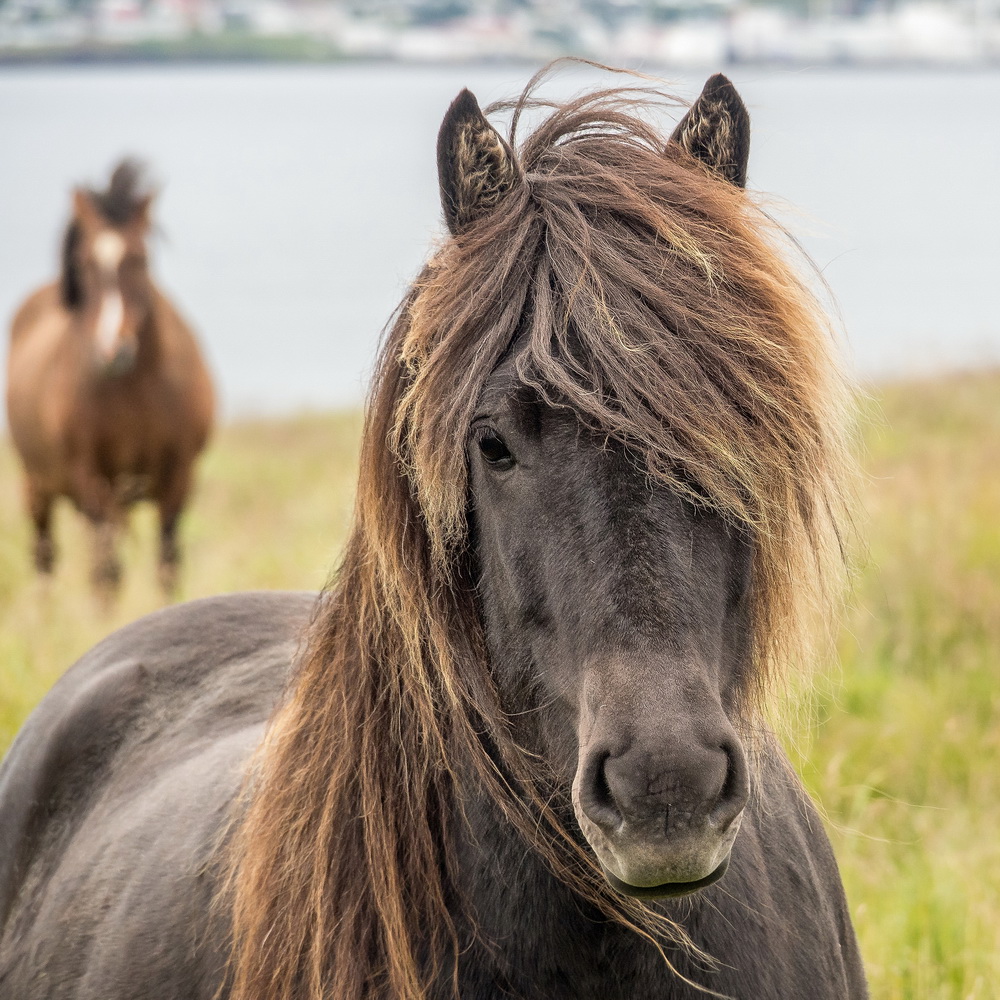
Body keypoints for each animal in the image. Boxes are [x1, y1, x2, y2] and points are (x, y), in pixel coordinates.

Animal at [6, 161, 213, 596]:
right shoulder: (92, 478)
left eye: (139, 258)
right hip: (37, 485)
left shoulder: (179, 477)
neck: (135, 391)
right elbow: (106, 574)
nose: (112, 350)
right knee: (45, 556)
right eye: (85, 262)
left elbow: (167, 565)